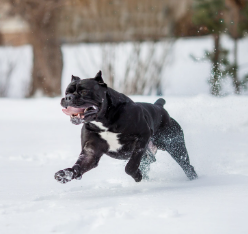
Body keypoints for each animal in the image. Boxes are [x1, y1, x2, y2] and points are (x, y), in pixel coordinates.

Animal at [54, 70, 198, 184]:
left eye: (84, 91)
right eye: (66, 92)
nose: (68, 97)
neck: (104, 121)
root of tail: (159, 106)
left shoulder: (141, 138)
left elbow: (130, 166)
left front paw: (137, 176)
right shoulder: (91, 151)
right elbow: (78, 166)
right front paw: (65, 174)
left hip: (175, 146)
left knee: (187, 166)